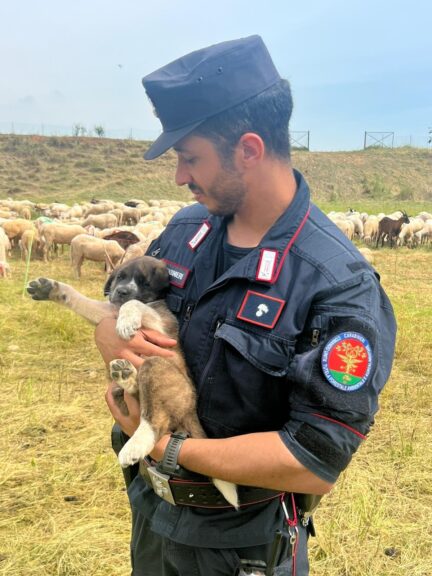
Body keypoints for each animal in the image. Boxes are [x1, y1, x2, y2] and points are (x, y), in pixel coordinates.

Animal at [27, 258, 238, 508]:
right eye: (120, 277)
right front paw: (48, 288)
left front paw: (127, 319)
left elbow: (134, 303)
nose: (121, 292)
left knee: (155, 421)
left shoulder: (159, 323)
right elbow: (81, 299)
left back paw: (134, 446)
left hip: (156, 367)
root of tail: (190, 408)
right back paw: (125, 374)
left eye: (145, 282)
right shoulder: (107, 311)